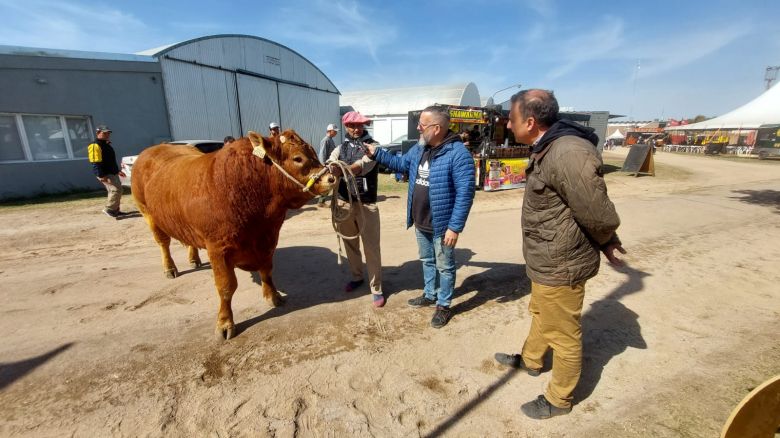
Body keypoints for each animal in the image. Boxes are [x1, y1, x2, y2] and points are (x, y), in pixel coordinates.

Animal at [133, 128, 334, 340]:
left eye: (313, 152)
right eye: (298, 158)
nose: (331, 178)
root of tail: (154, 148)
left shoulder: (268, 239)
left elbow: (267, 270)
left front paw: (273, 296)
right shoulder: (218, 248)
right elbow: (226, 287)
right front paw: (224, 322)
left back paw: (194, 259)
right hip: (148, 215)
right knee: (163, 243)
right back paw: (170, 268)